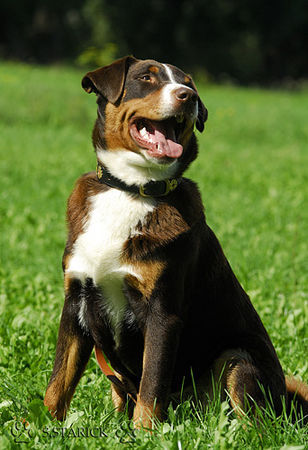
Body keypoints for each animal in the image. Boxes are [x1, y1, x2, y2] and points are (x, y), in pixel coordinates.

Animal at [44, 54, 308, 428]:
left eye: (187, 84)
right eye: (146, 78)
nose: (188, 97)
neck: (131, 190)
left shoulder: (162, 311)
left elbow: (152, 386)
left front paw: (145, 433)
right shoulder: (76, 300)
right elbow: (58, 382)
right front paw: (40, 426)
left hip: (238, 358)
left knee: (254, 424)